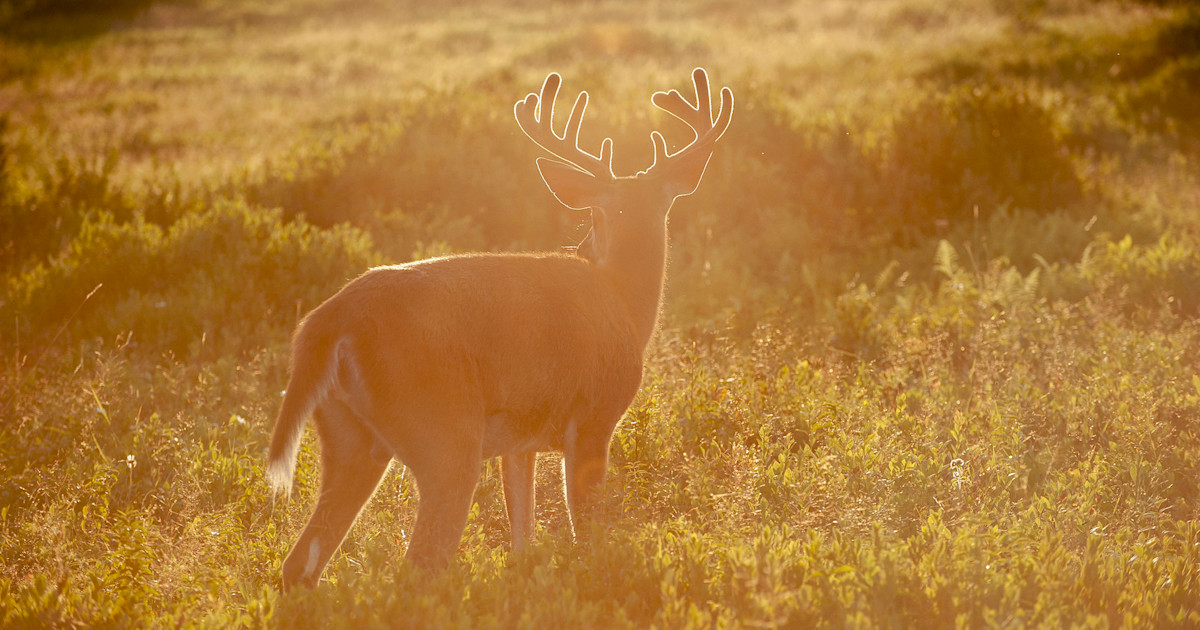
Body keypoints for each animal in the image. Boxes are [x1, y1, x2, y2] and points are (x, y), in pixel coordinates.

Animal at [266, 68, 734, 590]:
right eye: (594, 212)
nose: (584, 245)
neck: (625, 302)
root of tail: (327, 322)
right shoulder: (595, 416)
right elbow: (587, 533)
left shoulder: (520, 442)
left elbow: (523, 537)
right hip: (444, 433)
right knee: (418, 564)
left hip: (349, 438)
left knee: (300, 563)